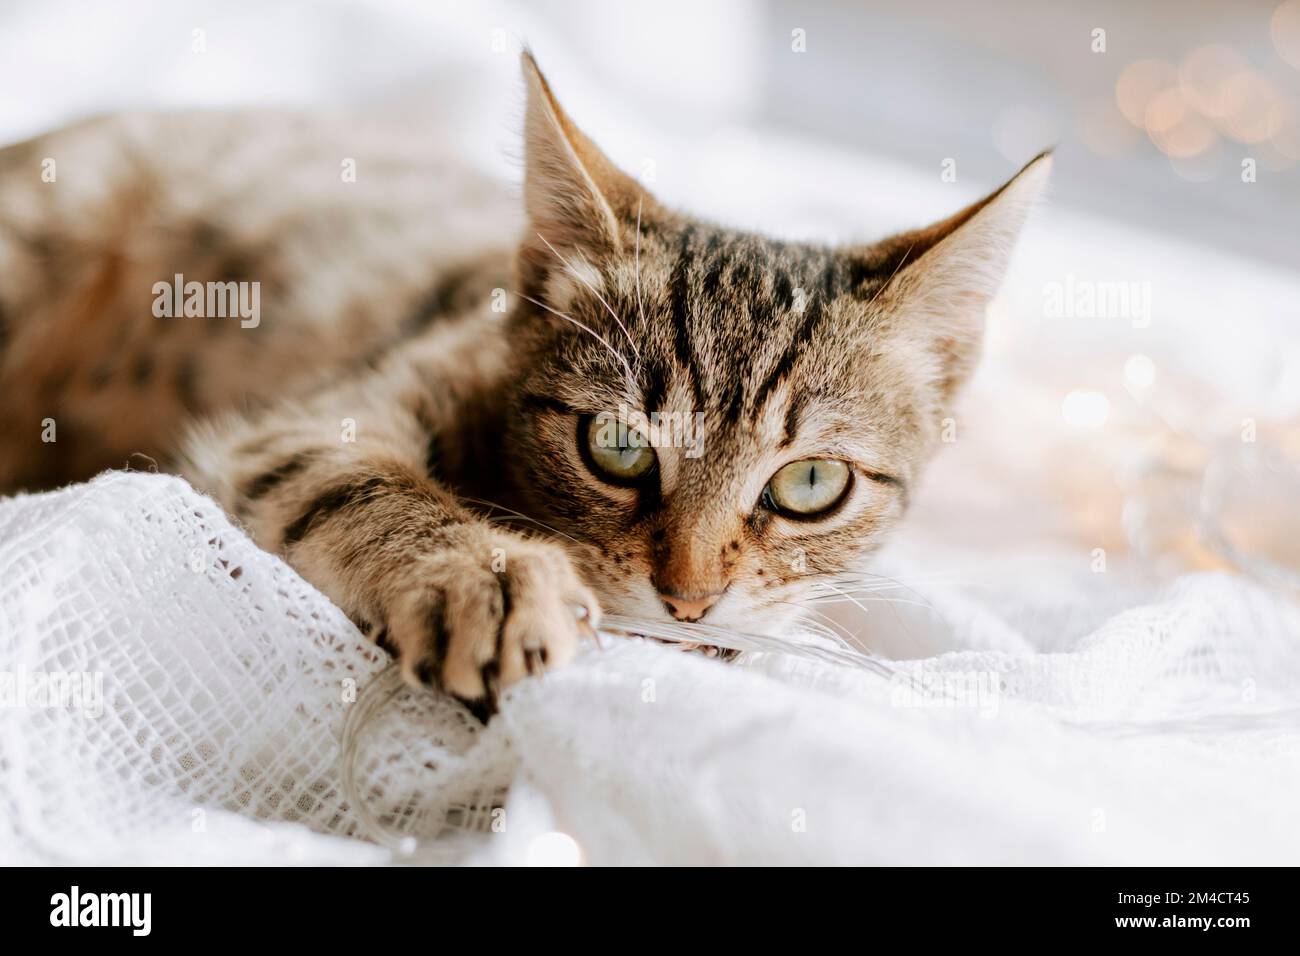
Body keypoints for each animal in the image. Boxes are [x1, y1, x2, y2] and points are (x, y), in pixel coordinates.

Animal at [0, 50, 1045, 712]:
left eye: (811, 484)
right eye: (616, 447)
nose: (689, 600)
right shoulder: (309, 422)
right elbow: (360, 484)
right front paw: (487, 576)